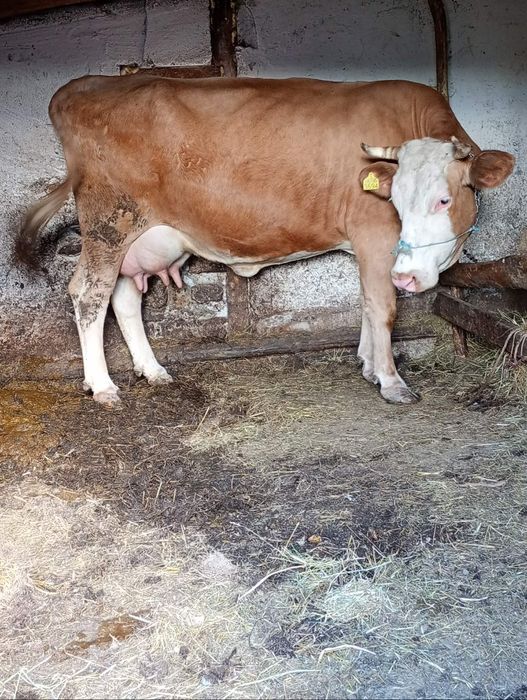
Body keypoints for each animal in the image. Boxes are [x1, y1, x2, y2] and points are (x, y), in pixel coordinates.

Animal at [15, 75, 515, 406]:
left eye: (443, 199)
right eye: (394, 199)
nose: (408, 276)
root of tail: (77, 87)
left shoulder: (365, 246)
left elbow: (365, 303)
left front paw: (368, 365)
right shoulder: (375, 236)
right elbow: (383, 308)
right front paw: (391, 381)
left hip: (137, 238)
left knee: (122, 298)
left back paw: (153, 370)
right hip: (108, 223)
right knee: (89, 295)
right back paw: (103, 386)